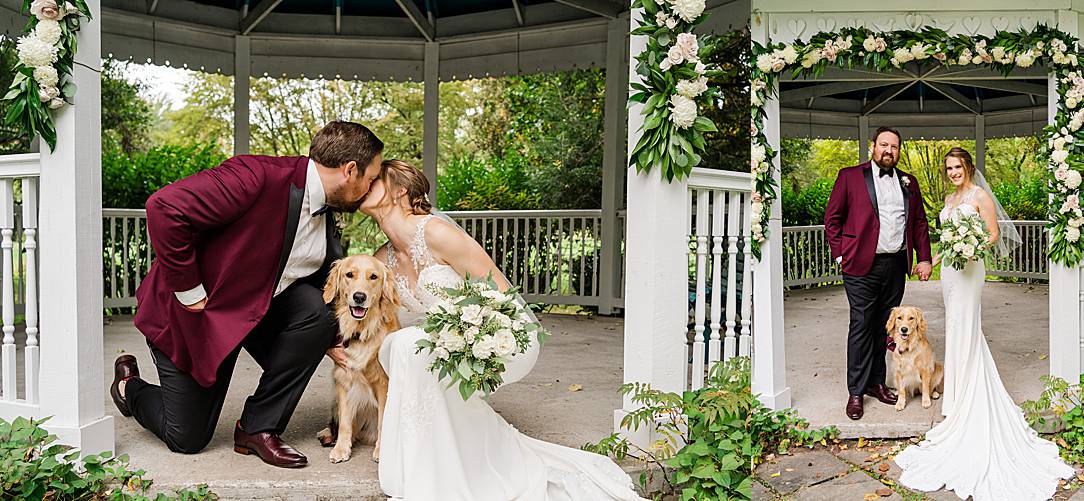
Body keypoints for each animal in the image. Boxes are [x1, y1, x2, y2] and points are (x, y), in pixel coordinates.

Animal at [316, 255, 401, 463]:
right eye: (349, 275)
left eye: (373, 277)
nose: (359, 297)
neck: (361, 331)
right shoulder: (343, 379)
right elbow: (345, 421)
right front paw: (341, 448)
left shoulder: (383, 383)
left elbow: (383, 420)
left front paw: (381, 451)